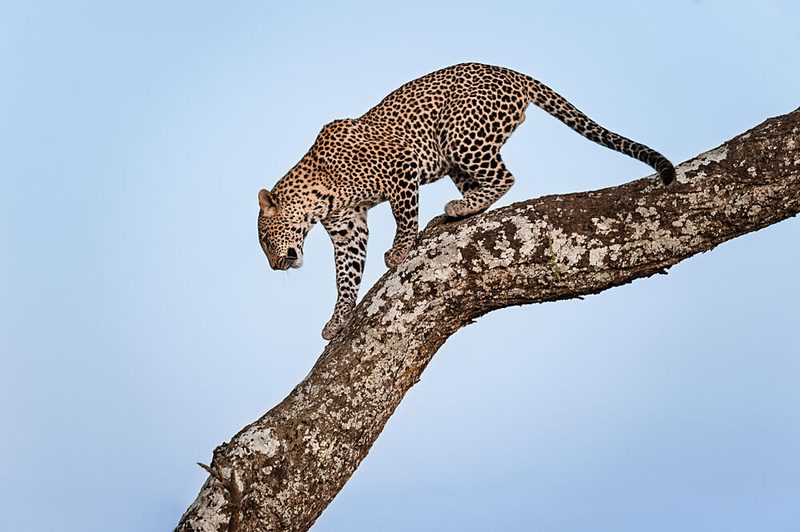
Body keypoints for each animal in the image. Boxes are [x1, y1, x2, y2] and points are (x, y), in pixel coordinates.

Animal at [257, 63, 675, 340]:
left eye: (263, 240)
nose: (275, 267)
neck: (318, 198)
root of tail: (508, 70)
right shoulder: (348, 228)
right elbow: (346, 275)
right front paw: (338, 319)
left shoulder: (401, 167)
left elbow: (404, 216)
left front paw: (400, 250)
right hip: (457, 154)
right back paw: (465, 207)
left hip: (459, 135)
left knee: (505, 177)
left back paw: (459, 208)